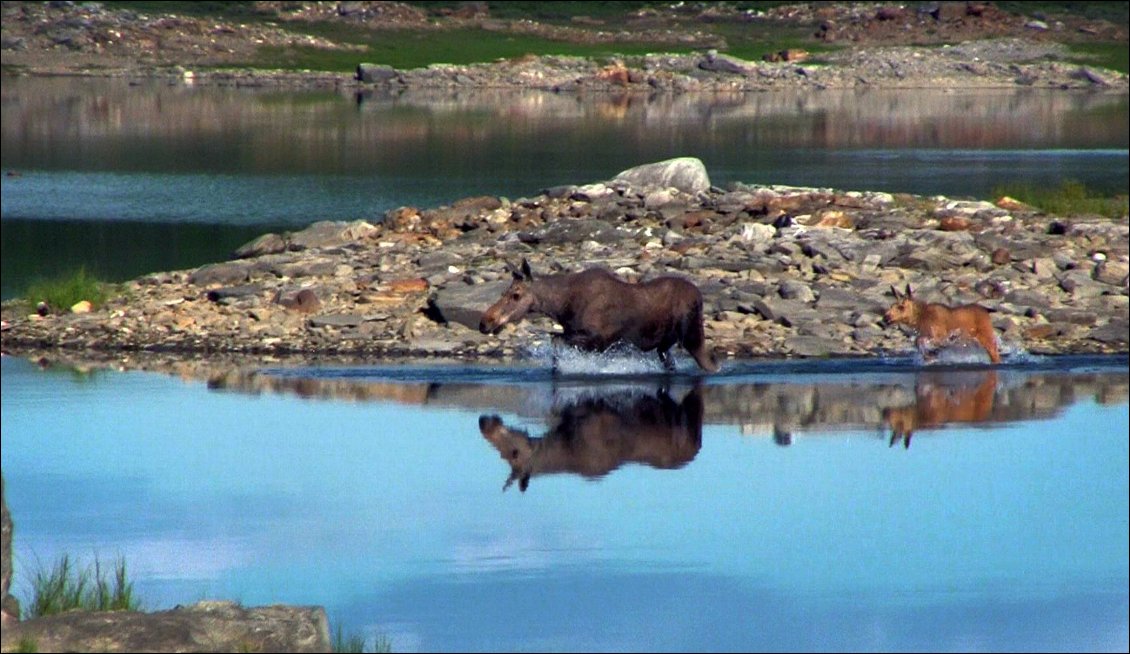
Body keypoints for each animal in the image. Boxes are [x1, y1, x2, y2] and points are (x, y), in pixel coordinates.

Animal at [481, 259, 718, 372]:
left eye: (516, 295)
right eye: (503, 292)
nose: (485, 322)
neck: (561, 307)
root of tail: (699, 296)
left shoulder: (598, 340)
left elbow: (555, 341)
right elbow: (555, 340)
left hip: (692, 336)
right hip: (665, 345)